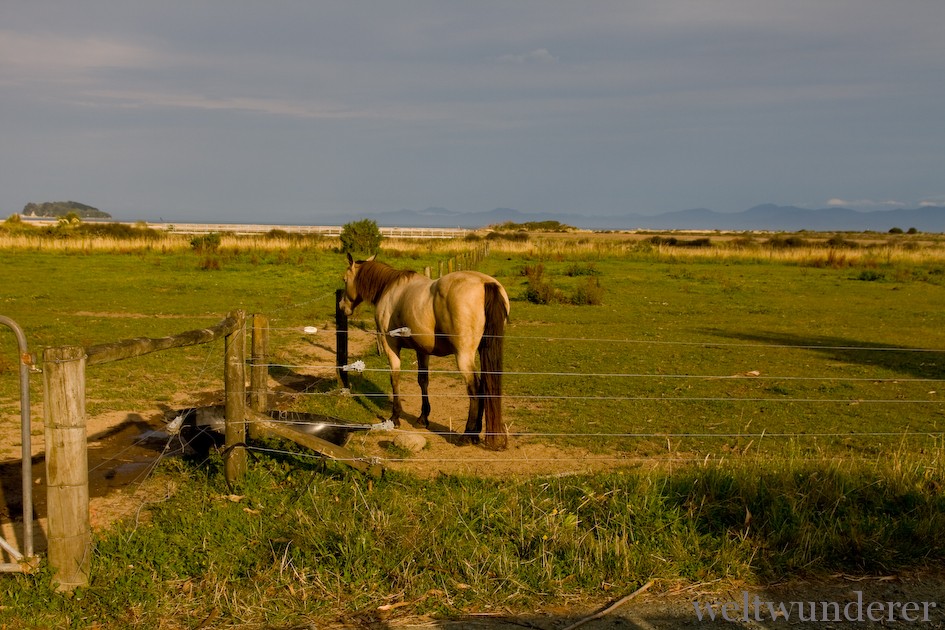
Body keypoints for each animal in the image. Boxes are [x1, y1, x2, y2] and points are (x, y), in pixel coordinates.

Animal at [342, 254, 508, 452]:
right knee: (483, 386)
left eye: (345, 280)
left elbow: (395, 377)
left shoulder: (390, 345)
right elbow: (423, 381)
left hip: (463, 356)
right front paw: (423, 418)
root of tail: (486, 283)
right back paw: (475, 434)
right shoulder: (422, 350)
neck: (389, 288)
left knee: (474, 388)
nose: (342, 307)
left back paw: (468, 435)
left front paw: (395, 417)